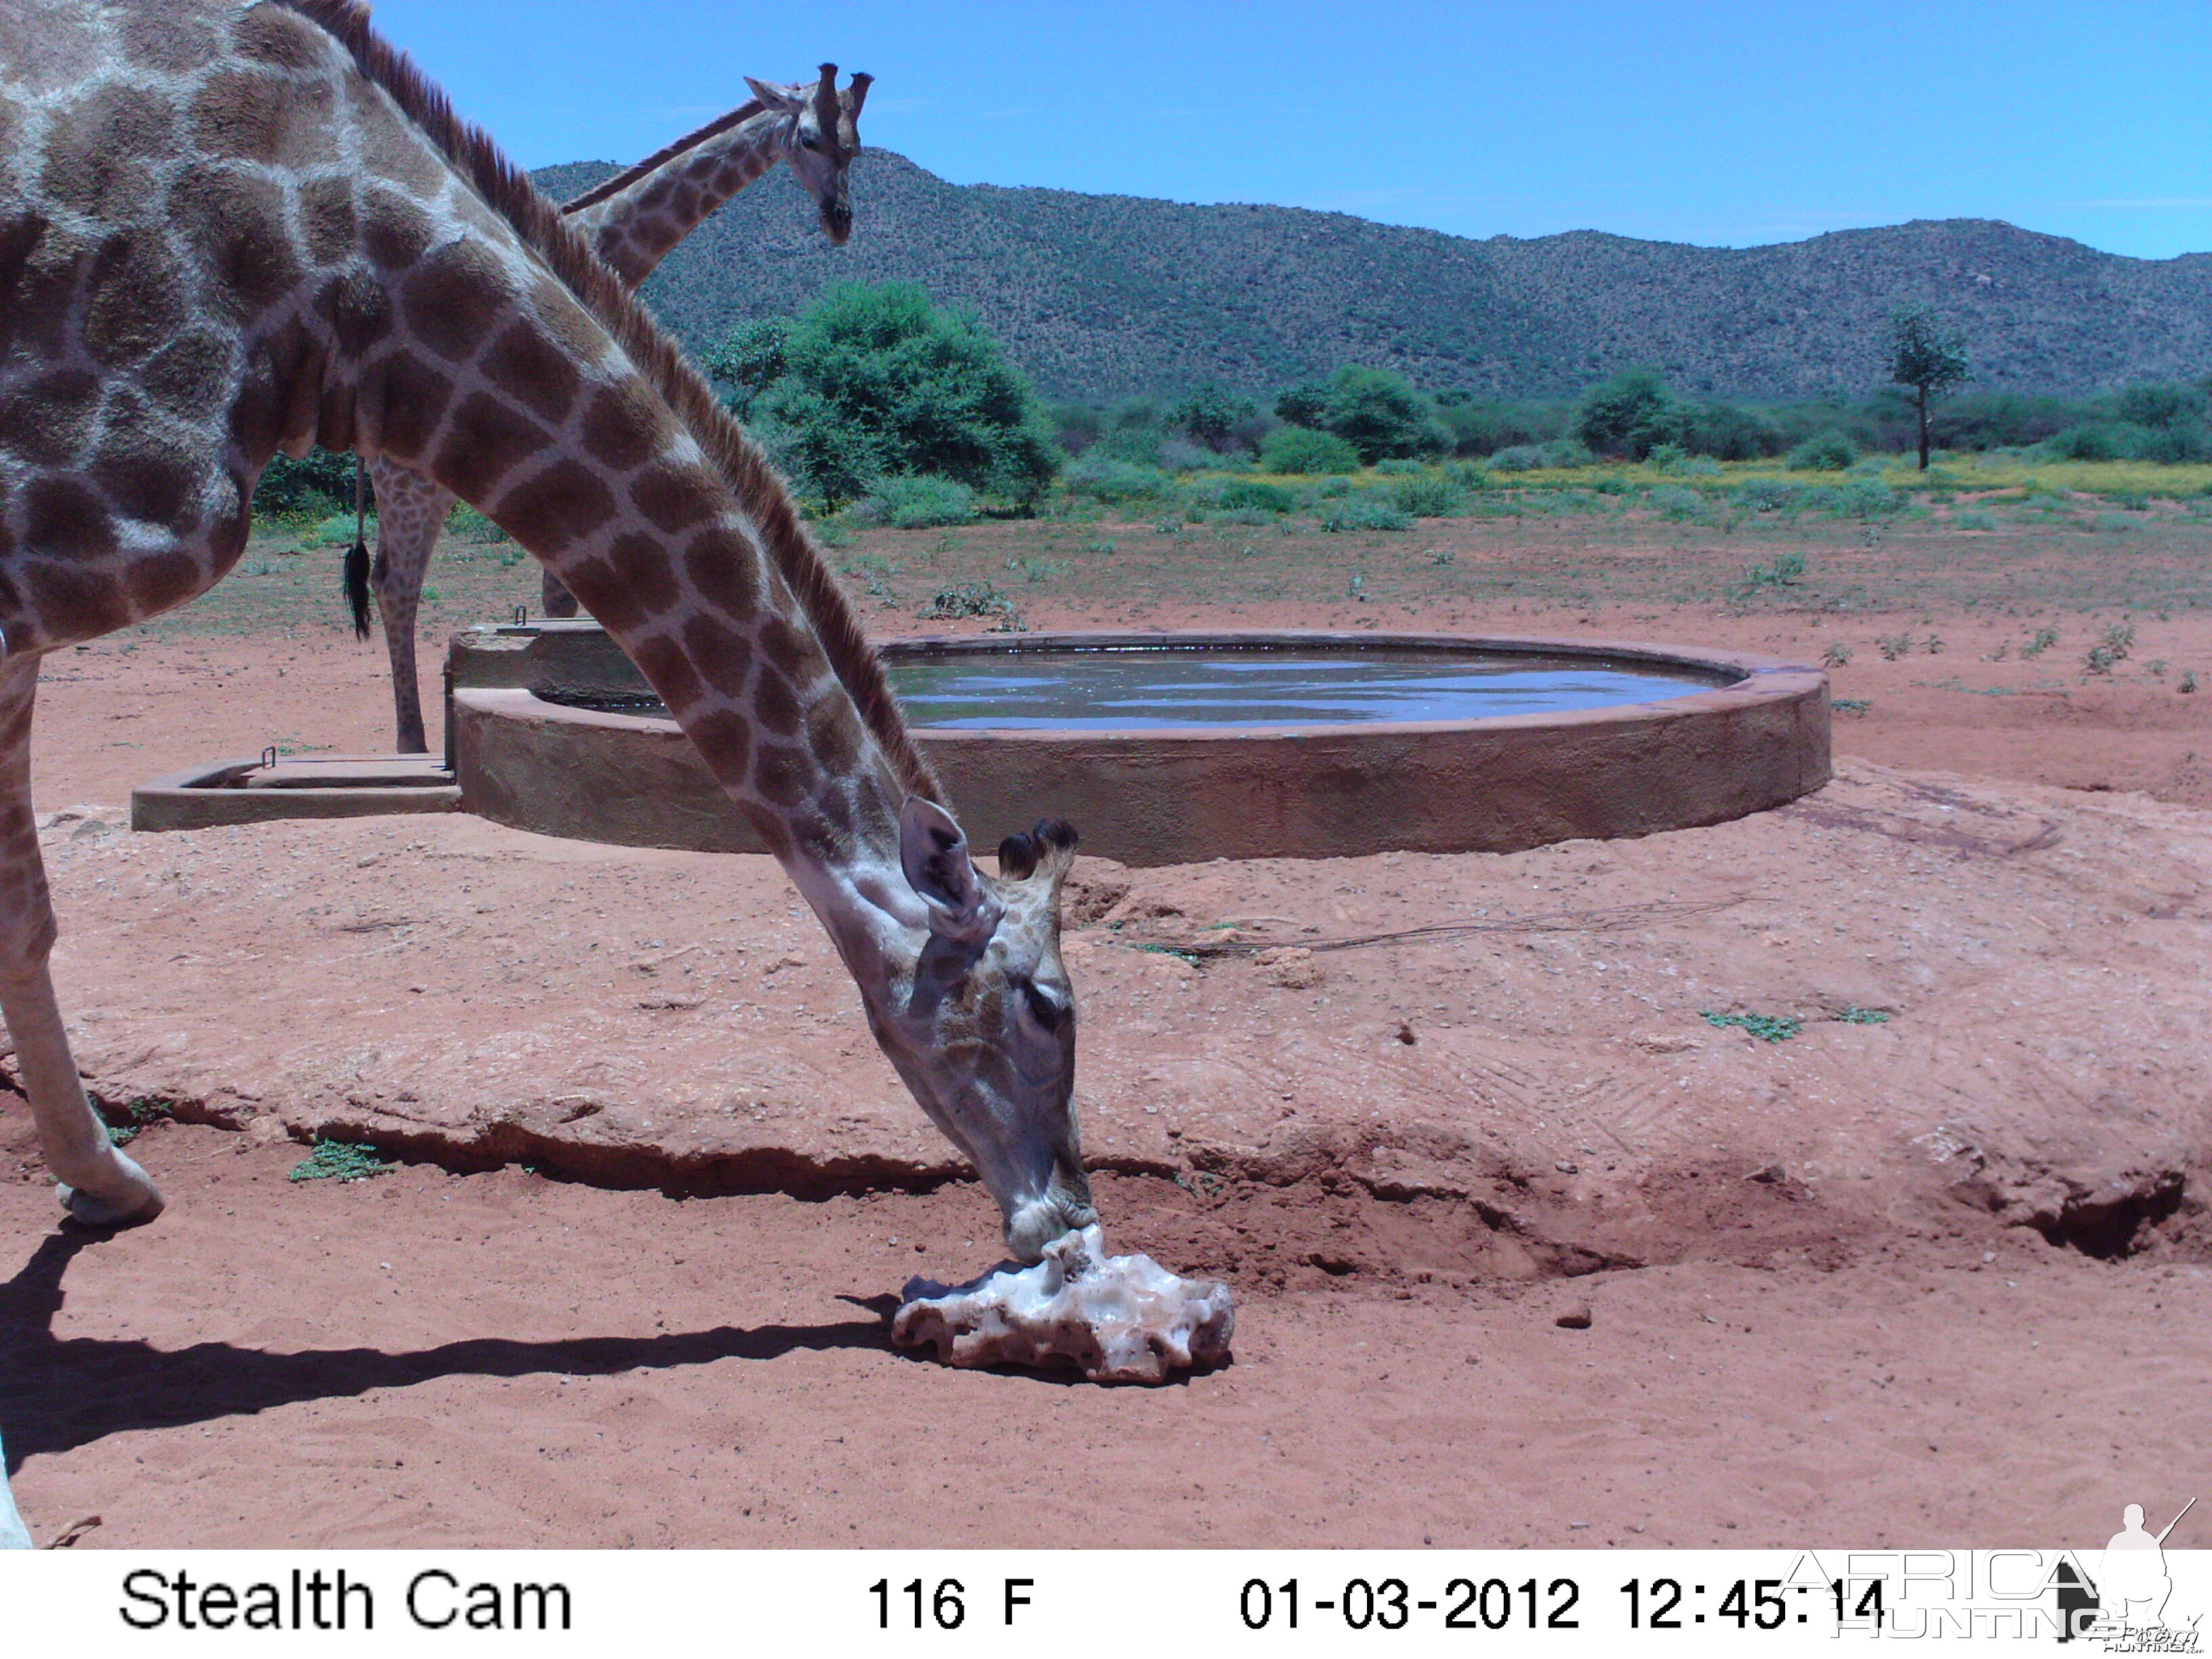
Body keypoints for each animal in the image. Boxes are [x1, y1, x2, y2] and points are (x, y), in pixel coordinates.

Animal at [367, 68, 876, 752]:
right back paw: (413, 743)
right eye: (811, 138)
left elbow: (565, 598)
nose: (840, 220)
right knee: (395, 585)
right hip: (410, 479)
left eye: (856, 146)